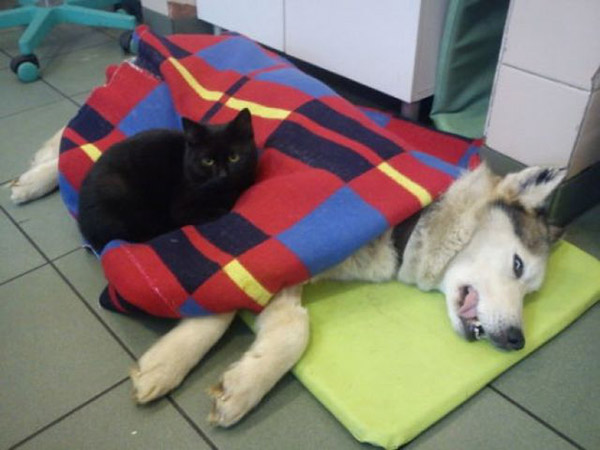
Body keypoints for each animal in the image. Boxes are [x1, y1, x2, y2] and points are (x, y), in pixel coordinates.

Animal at [9, 132, 564, 428]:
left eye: (533, 292)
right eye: (518, 267)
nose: (517, 341)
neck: (412, 221)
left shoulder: (288, 265)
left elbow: (291, 327)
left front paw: (242, 382)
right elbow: (221, 306)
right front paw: (171, 362)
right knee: (68, 140)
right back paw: (32, 178)